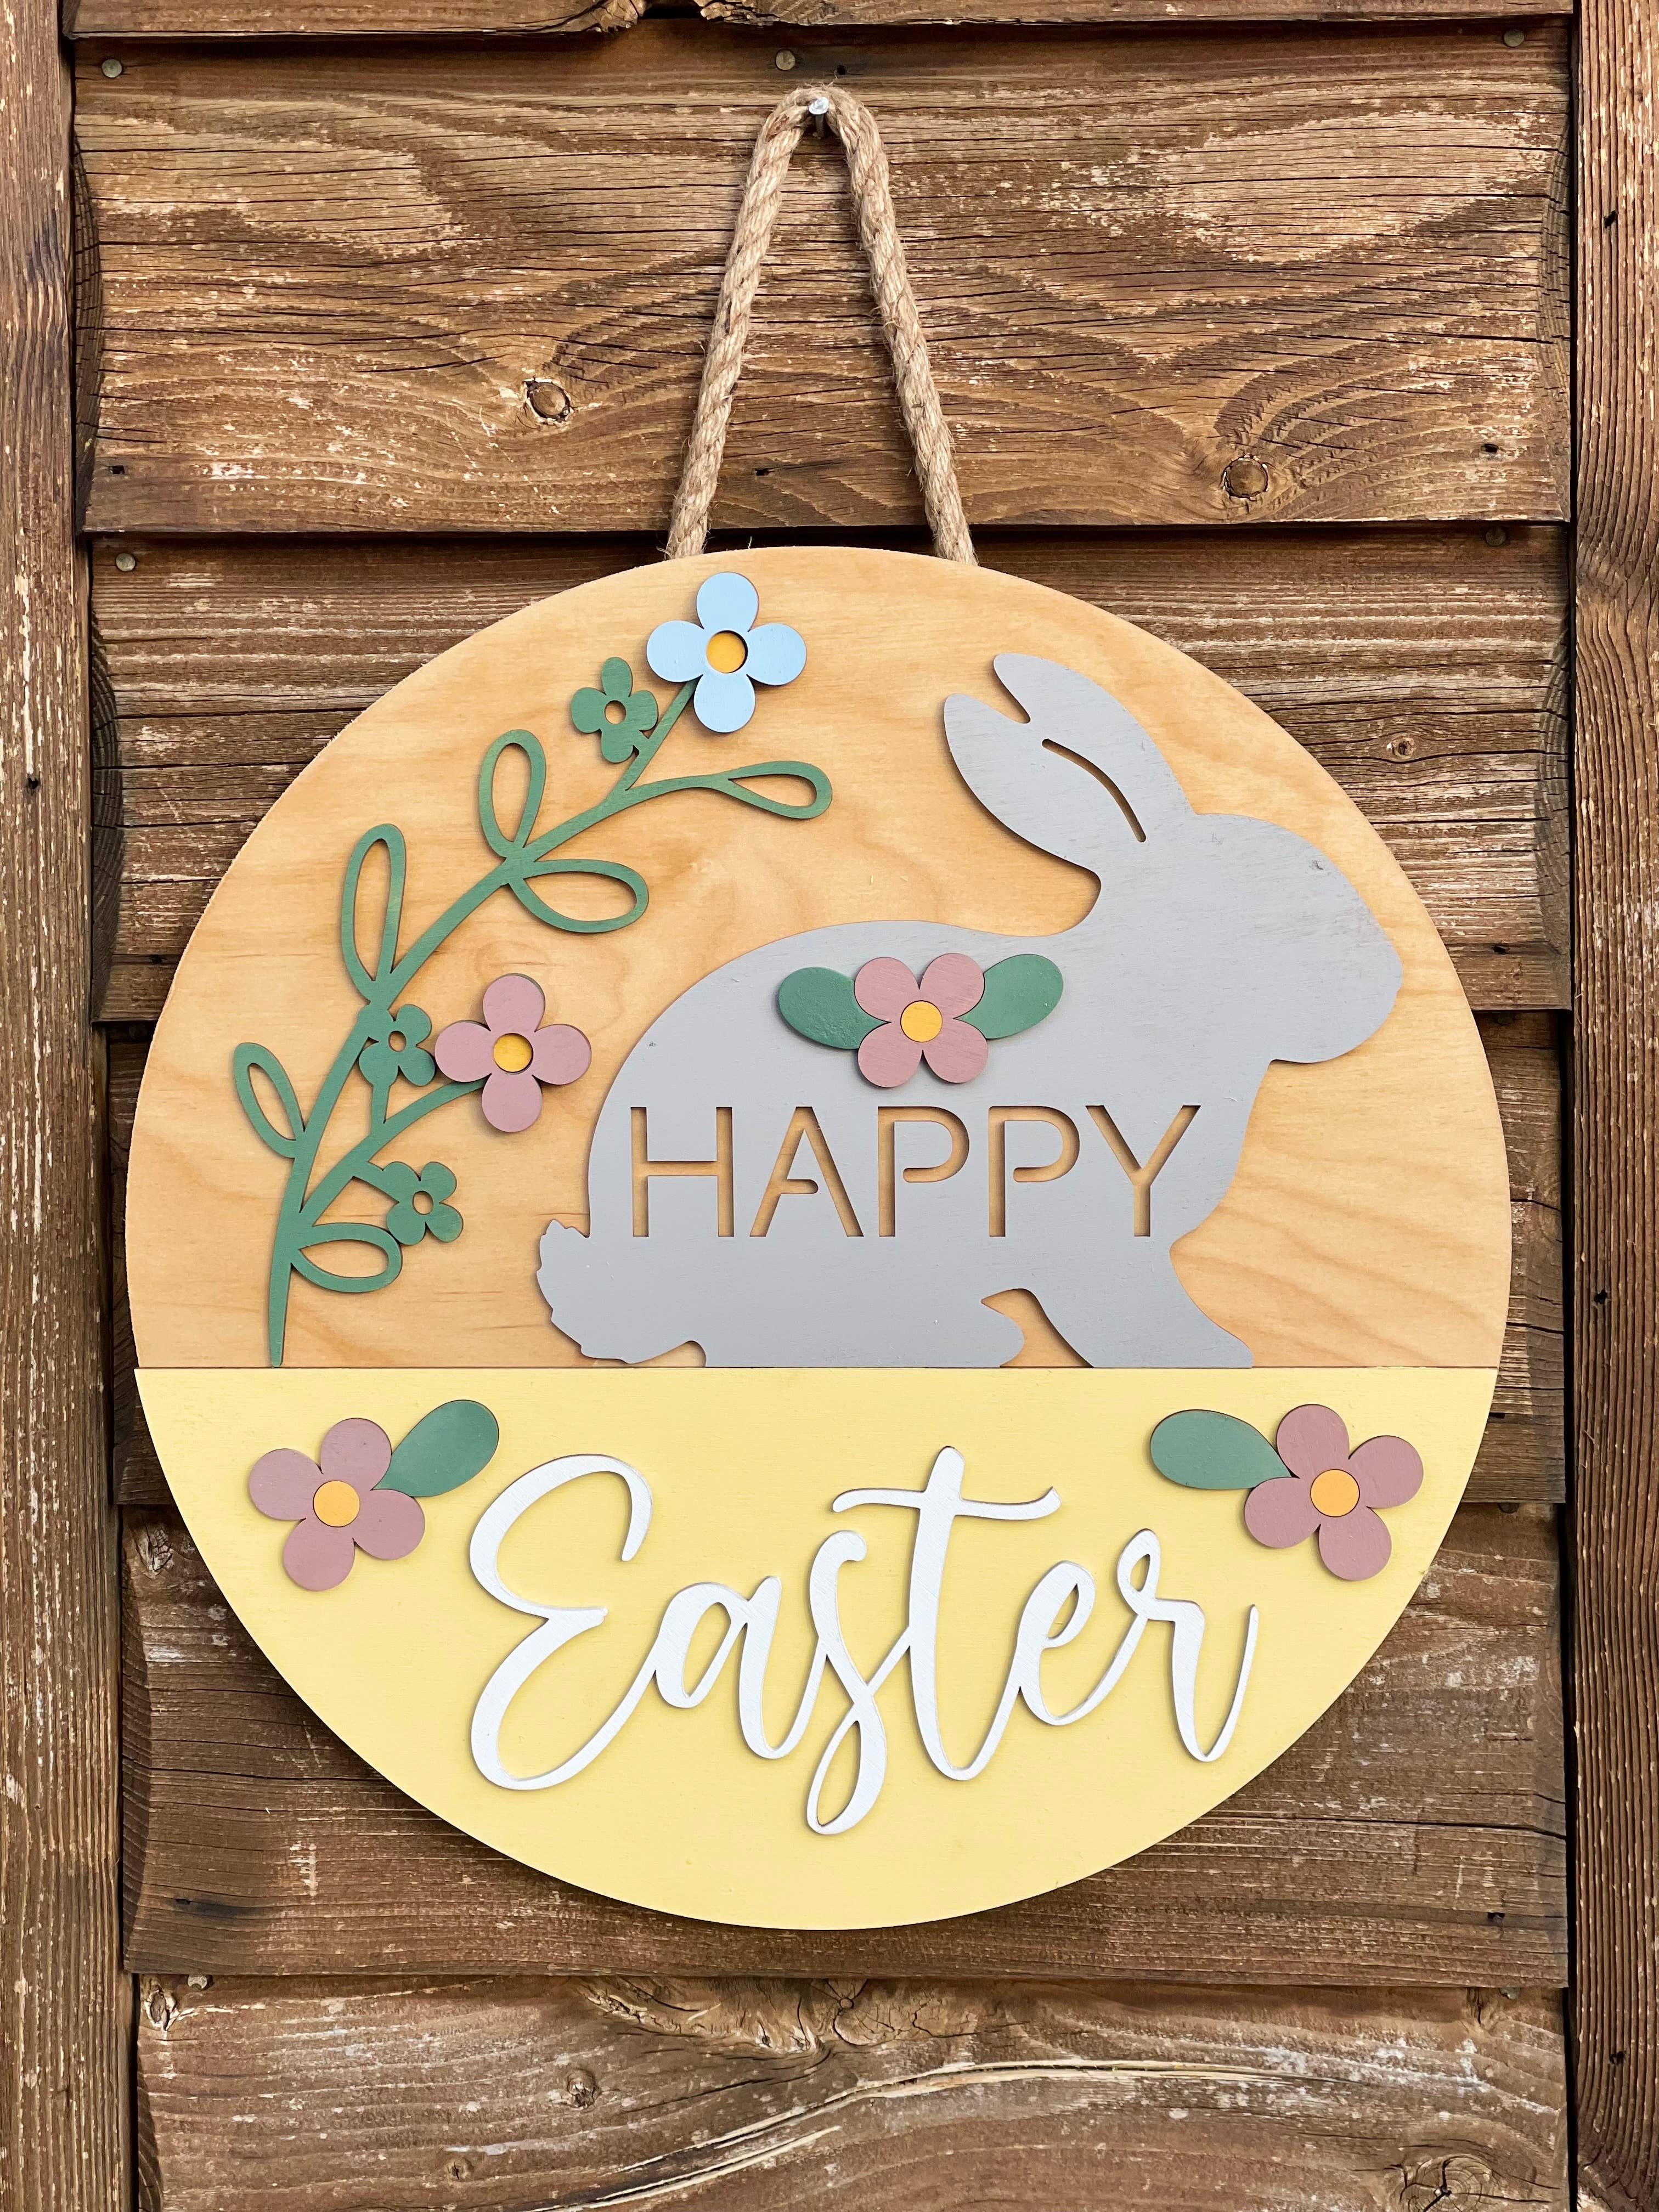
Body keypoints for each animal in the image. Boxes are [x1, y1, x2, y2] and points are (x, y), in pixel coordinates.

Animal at [536, 655, 1402, 1369]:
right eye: (1280, 909)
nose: (1389, 983)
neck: (1152, 992)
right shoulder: (1103, 1246)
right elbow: (1124, 1321)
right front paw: (1209, 1358)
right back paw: (975, 1342)